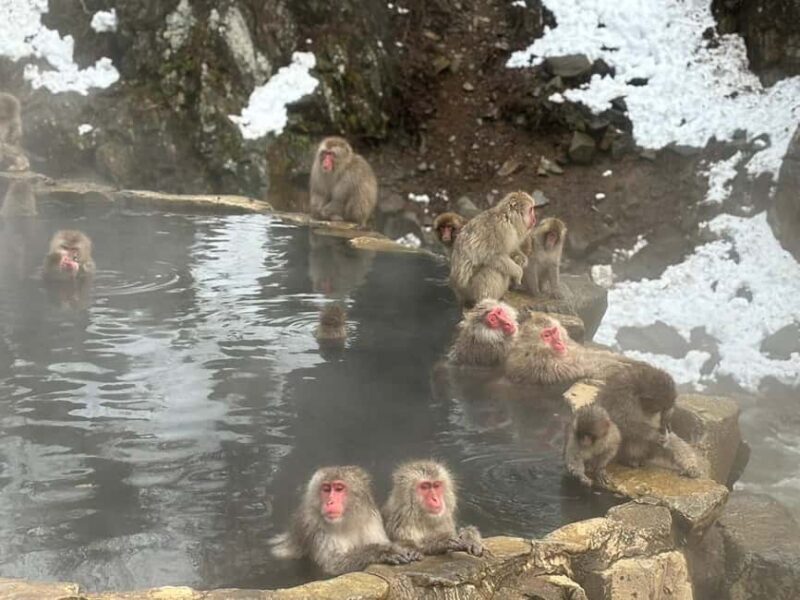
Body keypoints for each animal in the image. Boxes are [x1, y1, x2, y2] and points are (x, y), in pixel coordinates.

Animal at [269, 465, 421, 575]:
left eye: (339, 489)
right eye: (326, 489)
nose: (330, 502)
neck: (346, 522)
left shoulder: (371, 519)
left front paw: (409, 547)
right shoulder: (313, 526)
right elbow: (334, 564)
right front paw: (383, 551)